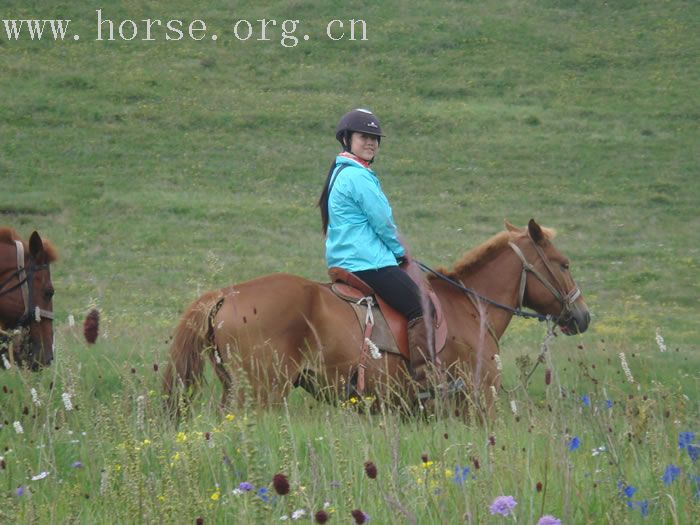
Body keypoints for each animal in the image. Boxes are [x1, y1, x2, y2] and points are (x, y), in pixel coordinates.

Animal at [165, 219, 592, 416]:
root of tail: (226, 294)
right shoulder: (478, 403)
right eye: (564, 264)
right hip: (260, 395)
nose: (582, 316)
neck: (469, 306)